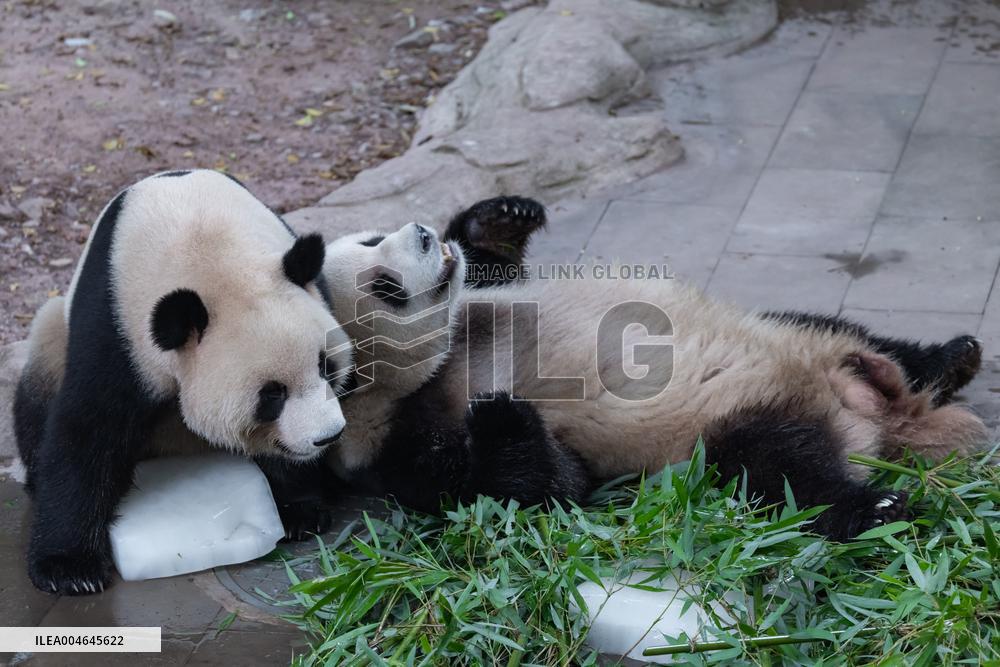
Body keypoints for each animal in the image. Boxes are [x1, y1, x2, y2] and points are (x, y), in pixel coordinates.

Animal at [12, 170, 353, 595]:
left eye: (325, 367)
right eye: (272, 395)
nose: (328, 436)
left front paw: (299, 510)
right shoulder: (117, 325)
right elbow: (88, 427)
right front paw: (68, 569)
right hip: (55, 334)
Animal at [320, 195, 989, 541]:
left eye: (374, 237)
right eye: (385, 286)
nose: (423, 235)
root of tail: (884, 416)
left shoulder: (483, 300)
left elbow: (494, 270)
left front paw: (501, 219)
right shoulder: (392, 443)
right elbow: (535, 486)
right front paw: (501, 416)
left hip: (798, 334)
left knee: (845, 330)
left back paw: (953, 357)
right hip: (731, 430)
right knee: (776, 470)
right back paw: (877, 507)